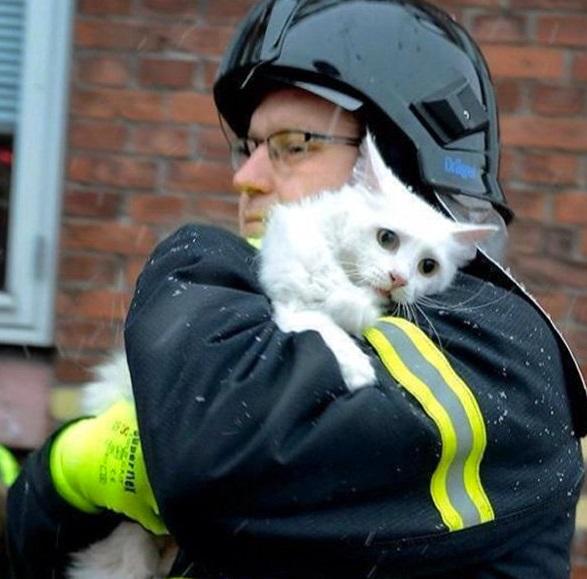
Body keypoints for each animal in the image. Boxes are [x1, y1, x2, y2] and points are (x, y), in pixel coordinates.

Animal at [69, 133, 496, 579]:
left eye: (428, 267)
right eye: (387, 238)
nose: (399, 280)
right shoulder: (290, 304)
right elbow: (324, 328)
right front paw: (357, 369)